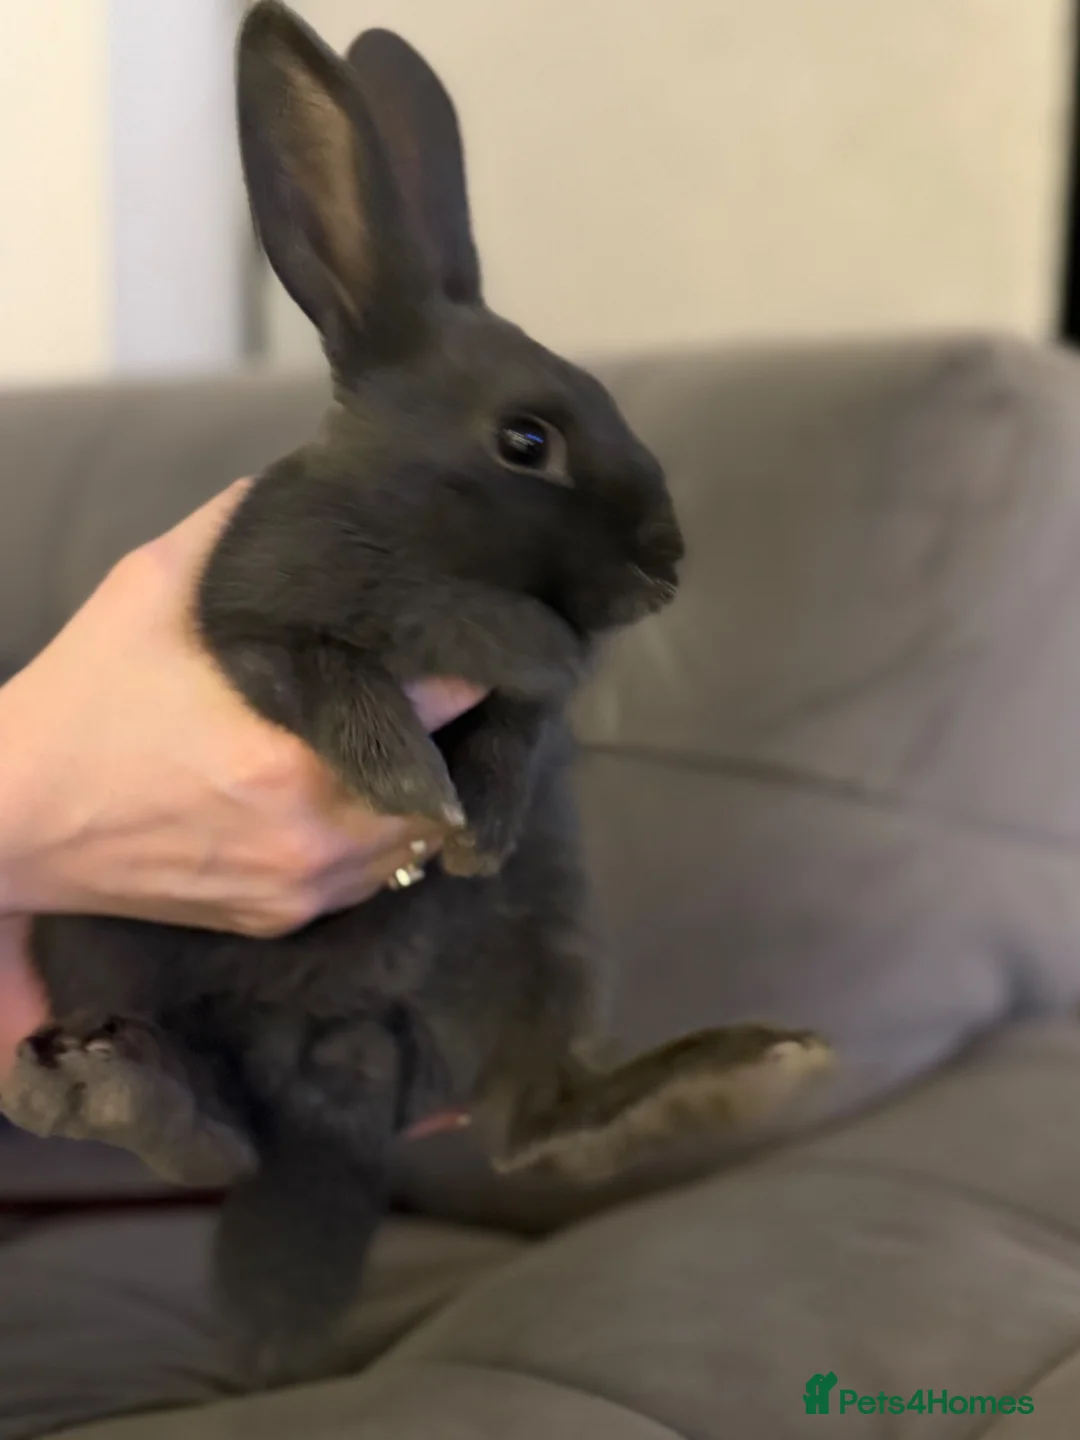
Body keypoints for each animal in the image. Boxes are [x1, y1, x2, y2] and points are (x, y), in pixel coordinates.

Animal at [0, 0, 833, 1388]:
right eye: (526, 441)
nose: (666, 562)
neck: (445, 563)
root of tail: (343, 1060)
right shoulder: (251, 619)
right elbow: (333, 674)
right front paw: (417, 792)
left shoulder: (530, 709)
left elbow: (520, 723)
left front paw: (474, 827)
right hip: (98, 942)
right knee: (219, 1132)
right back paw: (108, 1088)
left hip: (557, 941)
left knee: (536, 1126)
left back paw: (753, 1067)